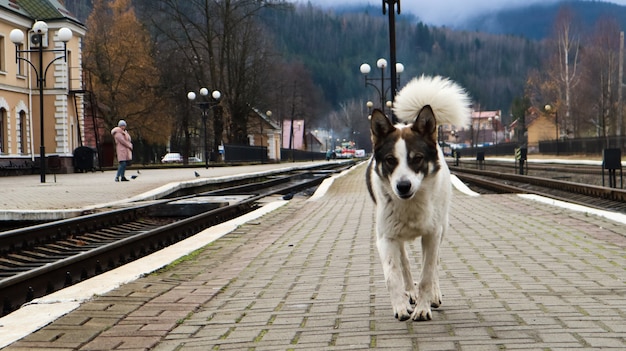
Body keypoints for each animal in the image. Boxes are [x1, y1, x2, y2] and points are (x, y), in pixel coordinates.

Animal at [366, 75, 468, 322]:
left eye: (418, 158)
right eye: (390, 160)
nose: (403, 186)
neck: (409, 203)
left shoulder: (432, 234)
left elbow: (427, 274)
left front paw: (423, 308)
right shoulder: (385, 238)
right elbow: (392, 275)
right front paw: (401, 307)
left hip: (442, 226)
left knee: (434, 264)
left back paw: (433, 296)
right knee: (404, 262)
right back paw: (409, 293)